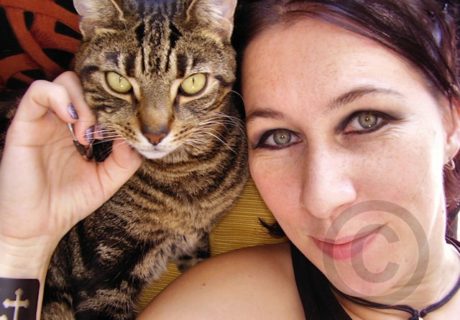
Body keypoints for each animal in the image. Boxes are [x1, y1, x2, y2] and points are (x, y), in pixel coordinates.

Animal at [41, 1, 248, 318]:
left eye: (193, 83)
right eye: (118, 82)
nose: (155, 134)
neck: (182, 173)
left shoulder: (195, 240)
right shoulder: (101, 275)